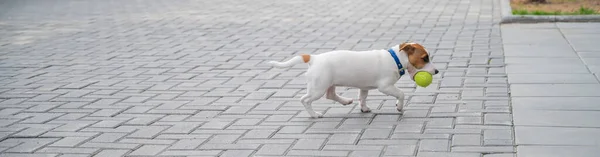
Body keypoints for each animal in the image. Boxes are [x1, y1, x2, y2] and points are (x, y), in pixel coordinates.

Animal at [270, 41, 438, 118]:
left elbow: (362, 98)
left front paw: (364, 108)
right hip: (318, 88)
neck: (395, 58)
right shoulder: (386, 86)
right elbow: (401, 94)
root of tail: (314, 58)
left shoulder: (364, 87)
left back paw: (345, 101)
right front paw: (399, 107)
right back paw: (314, 114)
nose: (436, 71)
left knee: (330, 95)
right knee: (305, 100)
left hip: (329, 84)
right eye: (424, 58)